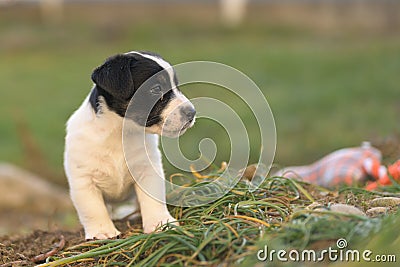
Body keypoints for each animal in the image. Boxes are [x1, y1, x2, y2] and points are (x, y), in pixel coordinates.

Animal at [63, 51, 196, 240]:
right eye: (156, 89)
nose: (192, 113)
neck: (120, 133)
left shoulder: (147, 170)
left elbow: (153, 199)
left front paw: (160, 223)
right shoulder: (84, 180)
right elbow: (93, 209)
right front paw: (102, 232)